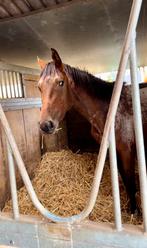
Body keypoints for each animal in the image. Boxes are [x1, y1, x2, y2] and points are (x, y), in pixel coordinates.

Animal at [37, 48, 147, 213]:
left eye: (60, 82)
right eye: (39, 87)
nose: (45, 125)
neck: (109, 110)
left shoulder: (127, 150)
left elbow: (130, 181)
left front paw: (134, 211)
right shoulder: (113, 150)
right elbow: (124, 178)